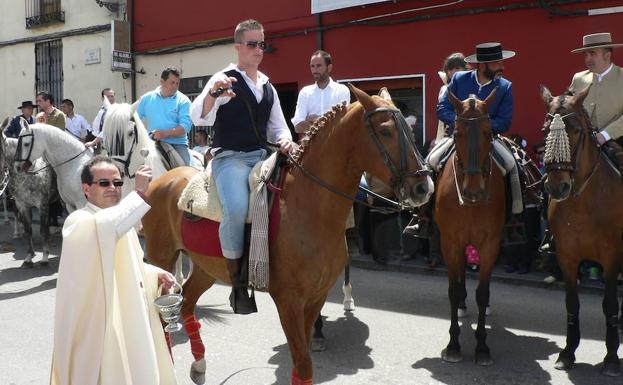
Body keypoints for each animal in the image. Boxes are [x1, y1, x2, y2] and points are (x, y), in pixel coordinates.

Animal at [141, 85, 434, 384]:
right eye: (385, 131)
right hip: (162, 259)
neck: (307, 207)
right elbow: (303, 363)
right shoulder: (288, 300)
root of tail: (160, 181)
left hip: (205, 268)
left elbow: (301, 361)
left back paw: (199, 364)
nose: (424, 187)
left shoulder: (316, 297)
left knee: (187, 302)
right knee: (163, 315)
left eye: (411, 132)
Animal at [434, 90, 508, 364]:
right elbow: (454, 290)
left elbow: (482, 292)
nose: (473, 191)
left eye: (488, 132)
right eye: (457, 134)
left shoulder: (490, 245)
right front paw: (454, 344)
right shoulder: (449, 242)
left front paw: (482, 346)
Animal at [540, 85, 623, 376]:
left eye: (575, 129)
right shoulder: (567, 257)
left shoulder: (611, 258)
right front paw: (567, 353)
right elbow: (571, 303)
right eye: (546, 130)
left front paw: (611, 358)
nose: (557, 187)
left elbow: (610, 304)